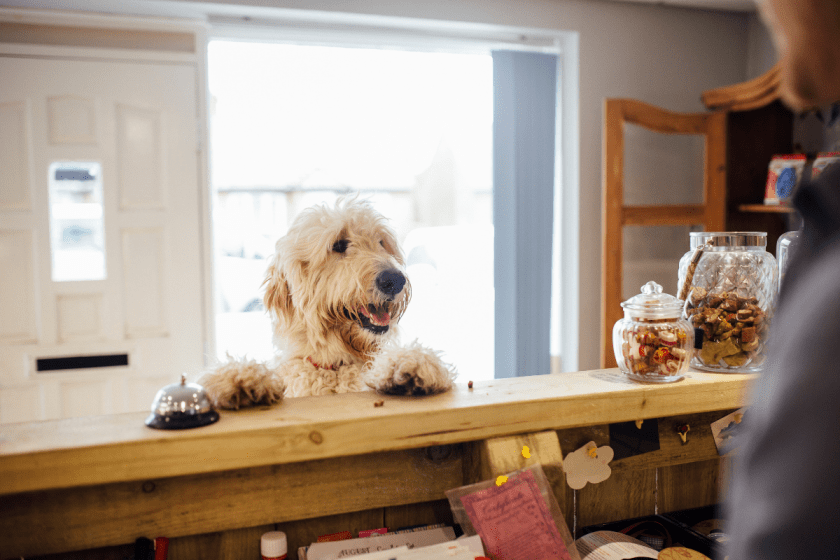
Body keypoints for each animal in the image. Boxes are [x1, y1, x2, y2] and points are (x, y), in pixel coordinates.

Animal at [201, 199, 456, 410]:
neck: (335, 366)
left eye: (381, 242)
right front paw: (241, 377)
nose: (394, 279)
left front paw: (411, 363)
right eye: (339, 245)